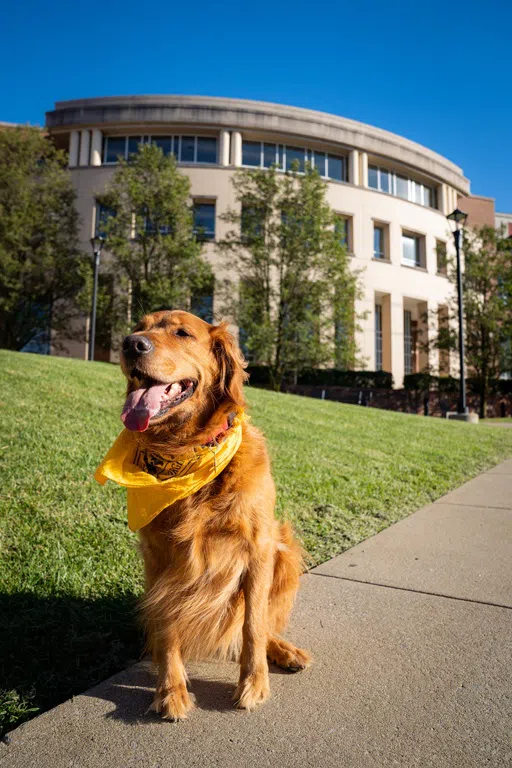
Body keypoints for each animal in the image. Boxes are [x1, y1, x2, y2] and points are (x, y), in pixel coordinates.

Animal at [114, 308, 310, 720]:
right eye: (139, 327)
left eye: (183, 333)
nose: (130, 344)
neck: (187, 450)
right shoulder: (159, 557)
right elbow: (167, 623)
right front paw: (170, 689)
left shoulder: (258, 547)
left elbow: (253, 626)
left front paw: (254, 682)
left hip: (285, 551)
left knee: (260, 624)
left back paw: (284, 650)